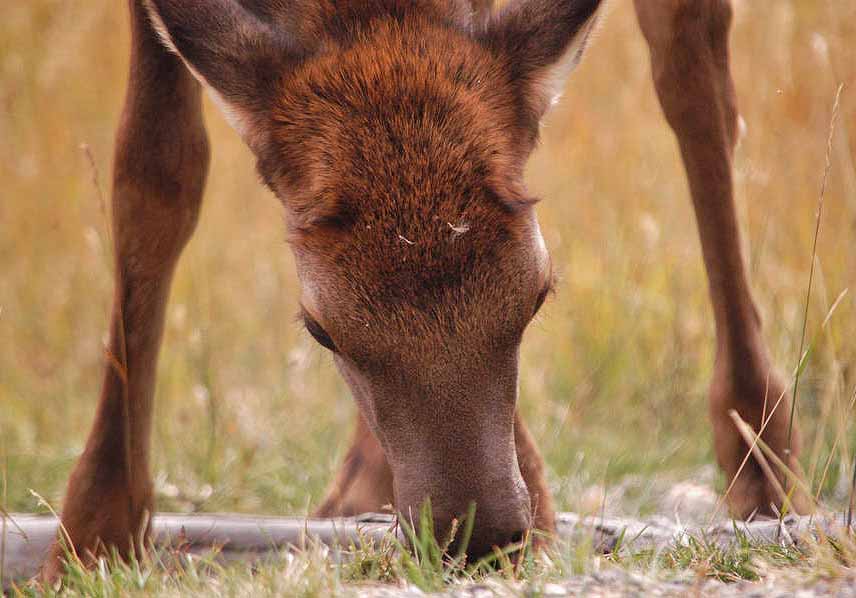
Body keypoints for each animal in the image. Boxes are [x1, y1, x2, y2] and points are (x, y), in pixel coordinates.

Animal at [41, 0, 808, 584]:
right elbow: (153, 170)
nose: (478, 537)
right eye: (319, 328)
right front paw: (91, 538)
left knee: (696, 77)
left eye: (538, 294)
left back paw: (762, 462)